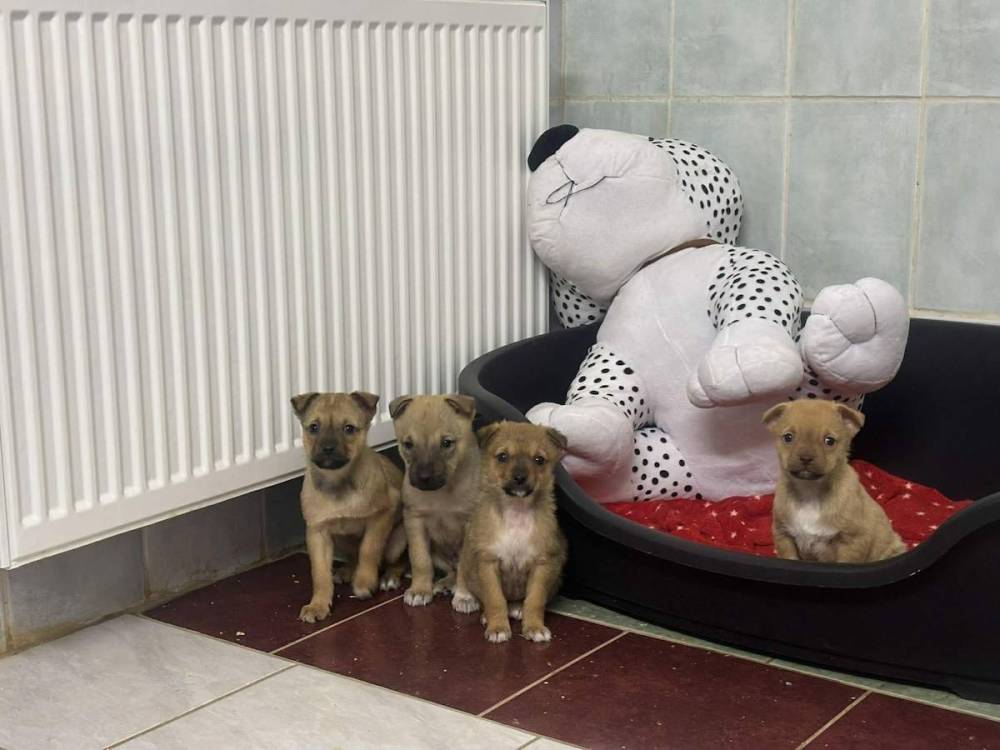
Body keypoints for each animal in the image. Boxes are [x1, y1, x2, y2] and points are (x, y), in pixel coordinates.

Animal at [291, 391, 407, 623]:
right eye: (313, 427)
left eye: (349, 429)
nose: (328, 448)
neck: (338, 481)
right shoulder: (318, 533)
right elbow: (320, 573)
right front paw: (318, 604)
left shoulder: (382, 516)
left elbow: (368, 550)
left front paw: (364, 582)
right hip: (341, 540)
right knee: (353, 555)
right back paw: (347, 571)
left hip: (397, 542)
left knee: (398, 561)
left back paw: (388, 578)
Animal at [389, 394, 481, 607]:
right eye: (408, 444)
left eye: (446, 443)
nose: (424, 477)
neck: (442, 493)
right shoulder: (415, 521)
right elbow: (420, 560)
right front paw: (420, 589)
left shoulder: (470, 525)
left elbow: (466, 566)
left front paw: (465, 596)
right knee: (449, 570)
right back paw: (444, 583)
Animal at [453, 421, 568, 643]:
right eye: (503, 456)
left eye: (539, 460)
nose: (520, 478)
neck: (517, 513)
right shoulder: (487, 562)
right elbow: (495, 599)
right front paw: (497, 627)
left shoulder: (542, 564)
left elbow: (534, 600)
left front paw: (534, 627)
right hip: (468, 548)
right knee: (462, 571)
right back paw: (465, 597)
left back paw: (516, 608)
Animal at [763, 399, 906, 563]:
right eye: (788, 437)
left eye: (829, 441)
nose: (806, 458)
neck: (810, 491)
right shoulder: (783, 535)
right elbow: (789, 557)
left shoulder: (852, 541)